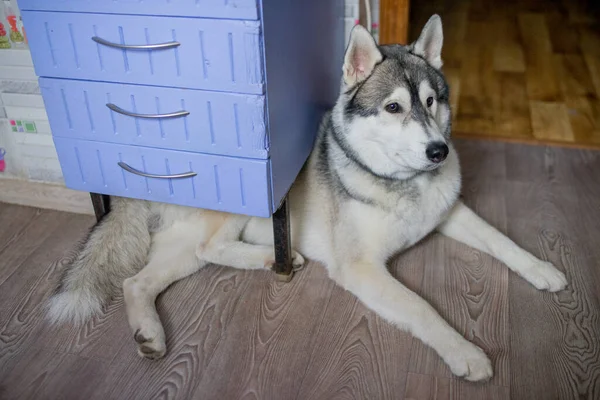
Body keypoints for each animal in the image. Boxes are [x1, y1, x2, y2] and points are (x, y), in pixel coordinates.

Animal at [48, 16, 568, 382]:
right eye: (393, 107)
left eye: (430, 101)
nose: (438, 151)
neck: (403, 183)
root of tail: (143, 166)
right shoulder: (362, 269)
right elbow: (423, 308)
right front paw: (465, 351)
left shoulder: (450, 212)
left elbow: (501, 240)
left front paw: (541, 269)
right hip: (238, 202)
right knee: (209, 246)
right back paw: (274, 259)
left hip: (177, 250)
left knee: (139, 281)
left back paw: (152, 333)